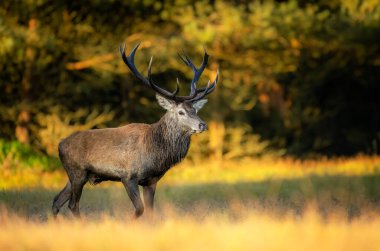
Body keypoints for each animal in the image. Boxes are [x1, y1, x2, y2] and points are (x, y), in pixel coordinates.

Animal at [51, 42, 218, 219]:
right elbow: (139, 208)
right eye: (181, 112)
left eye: (196, 110)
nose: (202, 125)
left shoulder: (151, 181)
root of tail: (60, 145)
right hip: (77, 172)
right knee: (72, 204)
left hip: (74, 176)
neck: (155, 153)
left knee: (56, 201)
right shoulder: (128, 176)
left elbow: (150, 212)